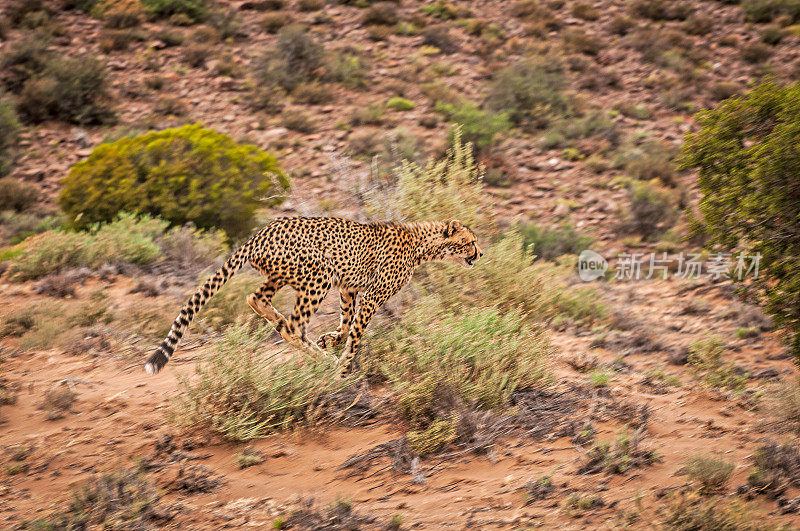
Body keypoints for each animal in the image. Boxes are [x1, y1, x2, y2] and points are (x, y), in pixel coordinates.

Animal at [144, 217, 482, 378]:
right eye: (470, 242)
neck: (422, 243)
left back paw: (292, 332)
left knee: (257, 300)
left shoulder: (348, 287)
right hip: (319, 274)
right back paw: (322, 359)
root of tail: (260, 232)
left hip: (284, 276)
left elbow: (346, 323)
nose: (480, 254)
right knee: (294, 325)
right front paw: (344, 366)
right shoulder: (371, 296)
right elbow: (356, 335)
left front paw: (329, 339)